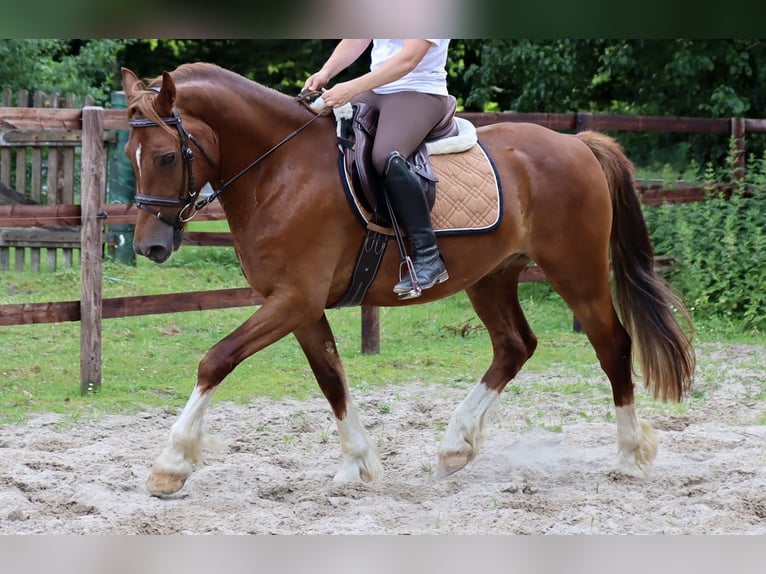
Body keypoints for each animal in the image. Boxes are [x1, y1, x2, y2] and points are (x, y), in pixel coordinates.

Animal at [120, 63, 695, 497]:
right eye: (130, 156)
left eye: (167, 156)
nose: (150, 246)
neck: (279, 170)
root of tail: (577, 144)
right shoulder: (300, 306)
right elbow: (331, 377)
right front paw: (357, 464)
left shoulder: (293, 300)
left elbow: (215, 360)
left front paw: (171, 464)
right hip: (490, 276)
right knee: (515, 346)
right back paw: (456, 446)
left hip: (577, 271)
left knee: (612, 344)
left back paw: (630, 455)